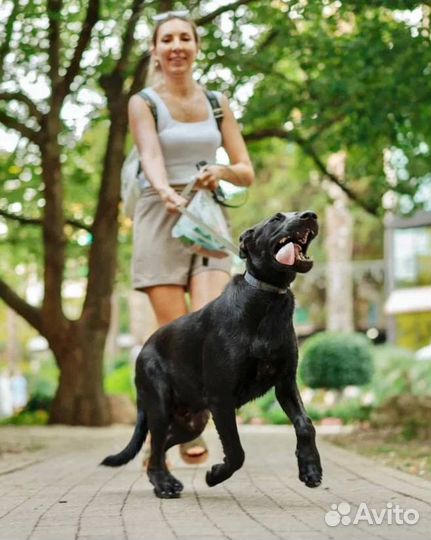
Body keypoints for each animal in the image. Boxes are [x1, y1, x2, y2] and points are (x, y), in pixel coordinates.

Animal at [103, 210, 322, 498]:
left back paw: (166, 480)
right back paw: (163, 484)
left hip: (193, 420)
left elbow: (306, 424)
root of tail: (142, 351)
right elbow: (236, 450)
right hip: (160, 406)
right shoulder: (221, 398)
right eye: (276, 219)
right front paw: (216, 474)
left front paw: (310, 469)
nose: (310, 216)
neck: (266, 297)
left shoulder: (285, 383)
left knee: (161, 446)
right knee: (156, 444)